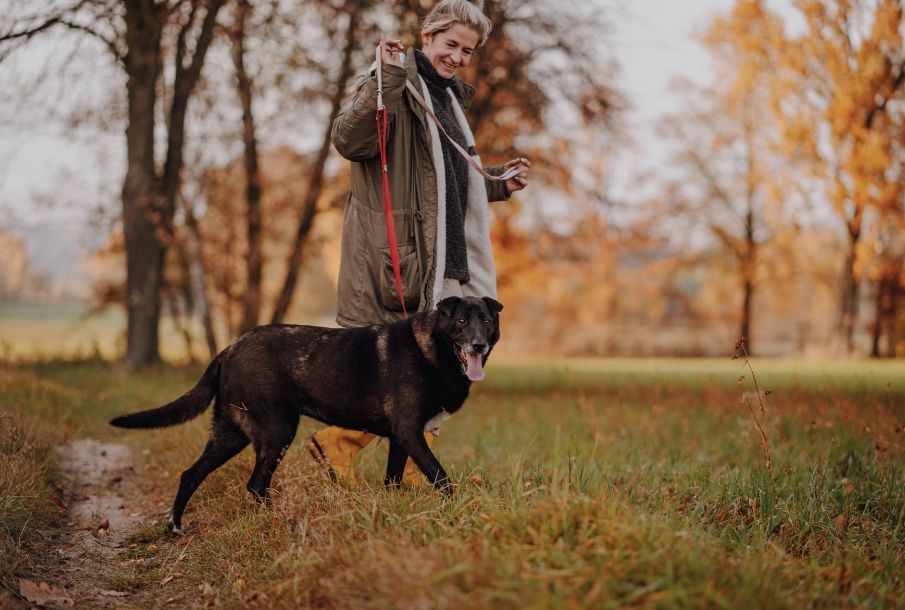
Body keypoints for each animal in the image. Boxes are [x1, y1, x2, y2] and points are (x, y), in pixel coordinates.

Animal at [111, 296, 502, 532]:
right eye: (461, 321)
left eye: (486, 321)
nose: (478, 345)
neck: (433, 348)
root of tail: (230, 348)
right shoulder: (409, 432)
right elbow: (441, 476)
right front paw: (461, 511)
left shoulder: (399, 437)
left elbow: (393, 480)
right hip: (277, 430)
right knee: (255, 484)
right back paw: (274, 521)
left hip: (230, 434)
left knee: (191, 474)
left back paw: (176, 525)